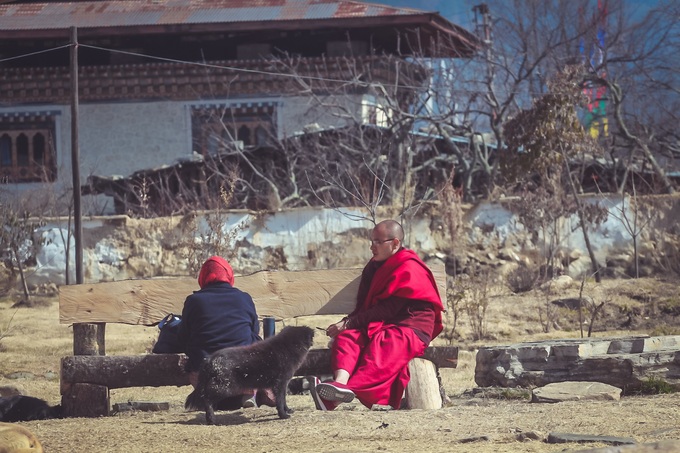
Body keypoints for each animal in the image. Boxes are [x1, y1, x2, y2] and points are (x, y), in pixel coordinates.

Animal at [185, 324, 314, 424]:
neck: (287, 346)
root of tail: (209, 360)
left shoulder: (282, 385)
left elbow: (283, 399)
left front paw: (287, 410)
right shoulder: (280, 384)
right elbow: (280, 400)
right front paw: (283, 415)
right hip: (224, 388)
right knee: (207, 400)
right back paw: (211, 419)